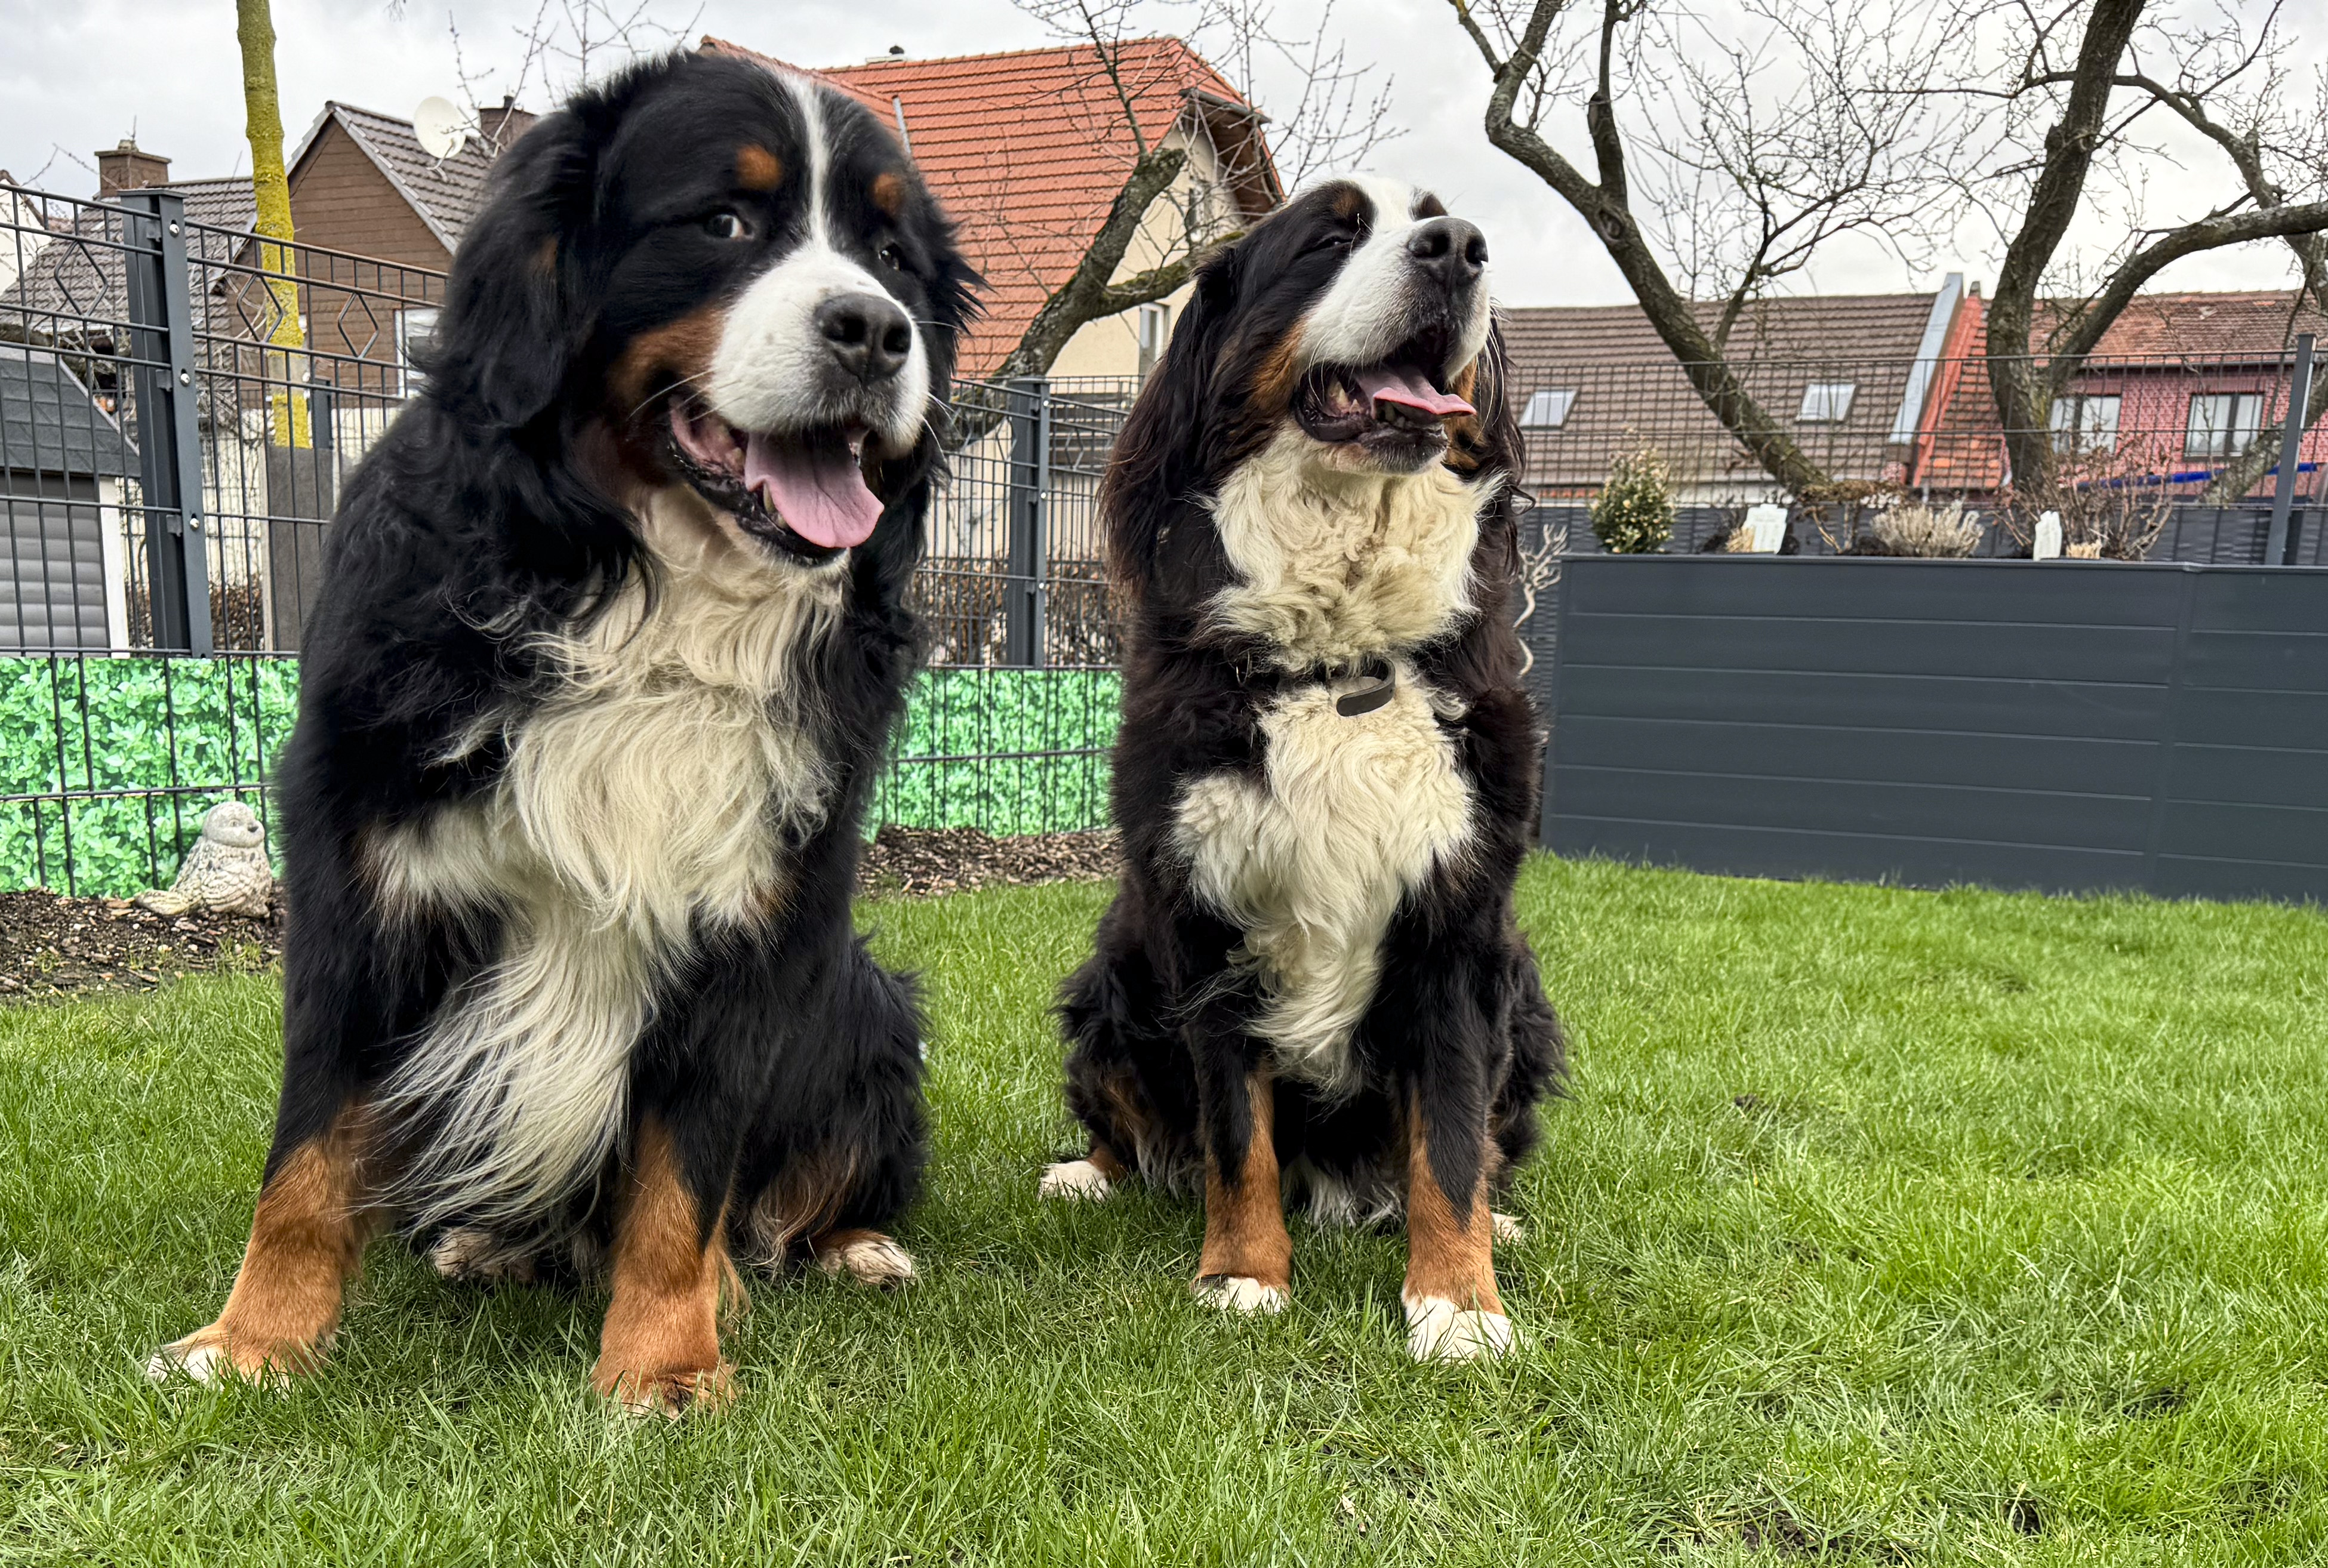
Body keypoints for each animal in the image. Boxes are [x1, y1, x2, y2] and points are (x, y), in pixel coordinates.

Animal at [147, 52, 976, 1414]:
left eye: (893, 254)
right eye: (724, 222)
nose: (877, 330)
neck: (647, 595)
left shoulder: (758, 916)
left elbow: (687, 1174)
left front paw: (669, 1359)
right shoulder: (361, 892)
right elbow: (309, 1157)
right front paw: (254, 1340)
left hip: (865, 996)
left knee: (781, 1196)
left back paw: (840, 1250)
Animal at [1043, 177, 1565, 1361]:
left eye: (1440, 217)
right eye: (1331, 238)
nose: (1459, 248)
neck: (1341, 660)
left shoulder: (1458, 931)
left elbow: (1451, 1139)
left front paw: (1459, 1302)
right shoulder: (1207, 920)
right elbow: (1238, 1133)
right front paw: (1243, 1273)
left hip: (1526, 994)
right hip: (1114, 973)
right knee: (1133, 1119)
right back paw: (1088, 1173)